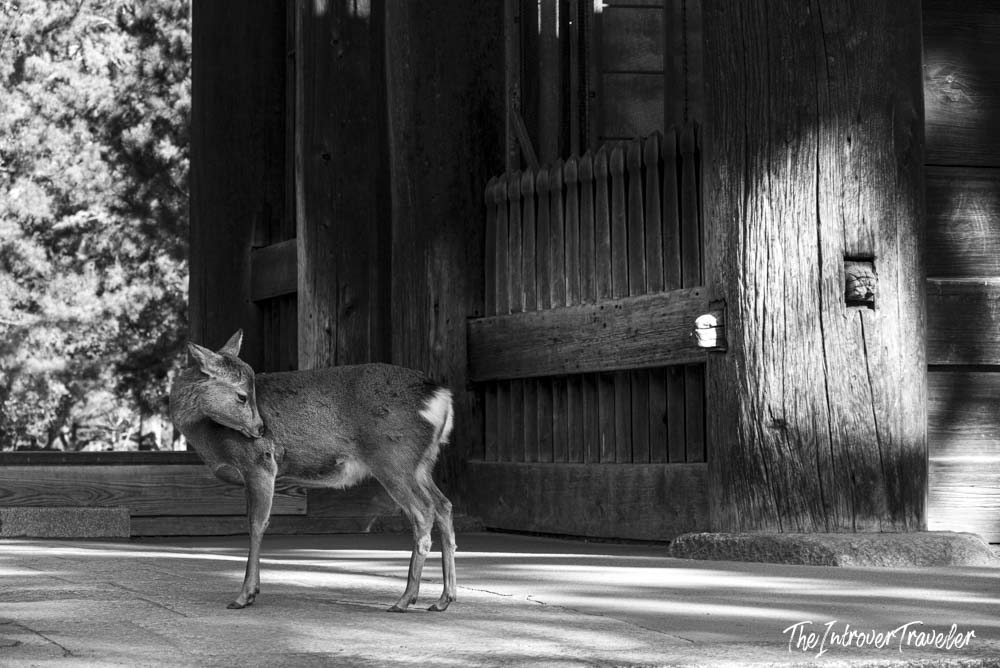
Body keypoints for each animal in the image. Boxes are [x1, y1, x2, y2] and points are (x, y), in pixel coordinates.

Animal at [168, 330, 457, 612]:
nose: (261, 429)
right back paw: (443, 599)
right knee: (443, 505)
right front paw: (253, 591)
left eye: (249, 393)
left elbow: (256, 524)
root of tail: (442, 398)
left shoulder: (260, 463)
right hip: (421, 464)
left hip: (394, 458)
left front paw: (244, 595)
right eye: (242, 395)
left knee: (424, 511)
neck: (209, 439)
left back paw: (405, 599)